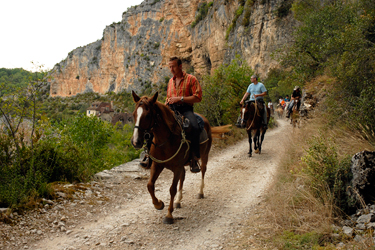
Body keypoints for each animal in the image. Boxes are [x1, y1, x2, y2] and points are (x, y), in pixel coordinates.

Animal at [131, 91, 232, 224]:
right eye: (134, 114)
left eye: (147, 116)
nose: (135, 142)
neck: (166, 140)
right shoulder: (157, 165)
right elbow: (150, 185)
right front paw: (158, 204)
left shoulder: (177, 167)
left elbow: (172, 189)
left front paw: (169, 215)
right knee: (183, 177)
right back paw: (178, 201)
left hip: (204, 156)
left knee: (203, 170)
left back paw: (200, 192)